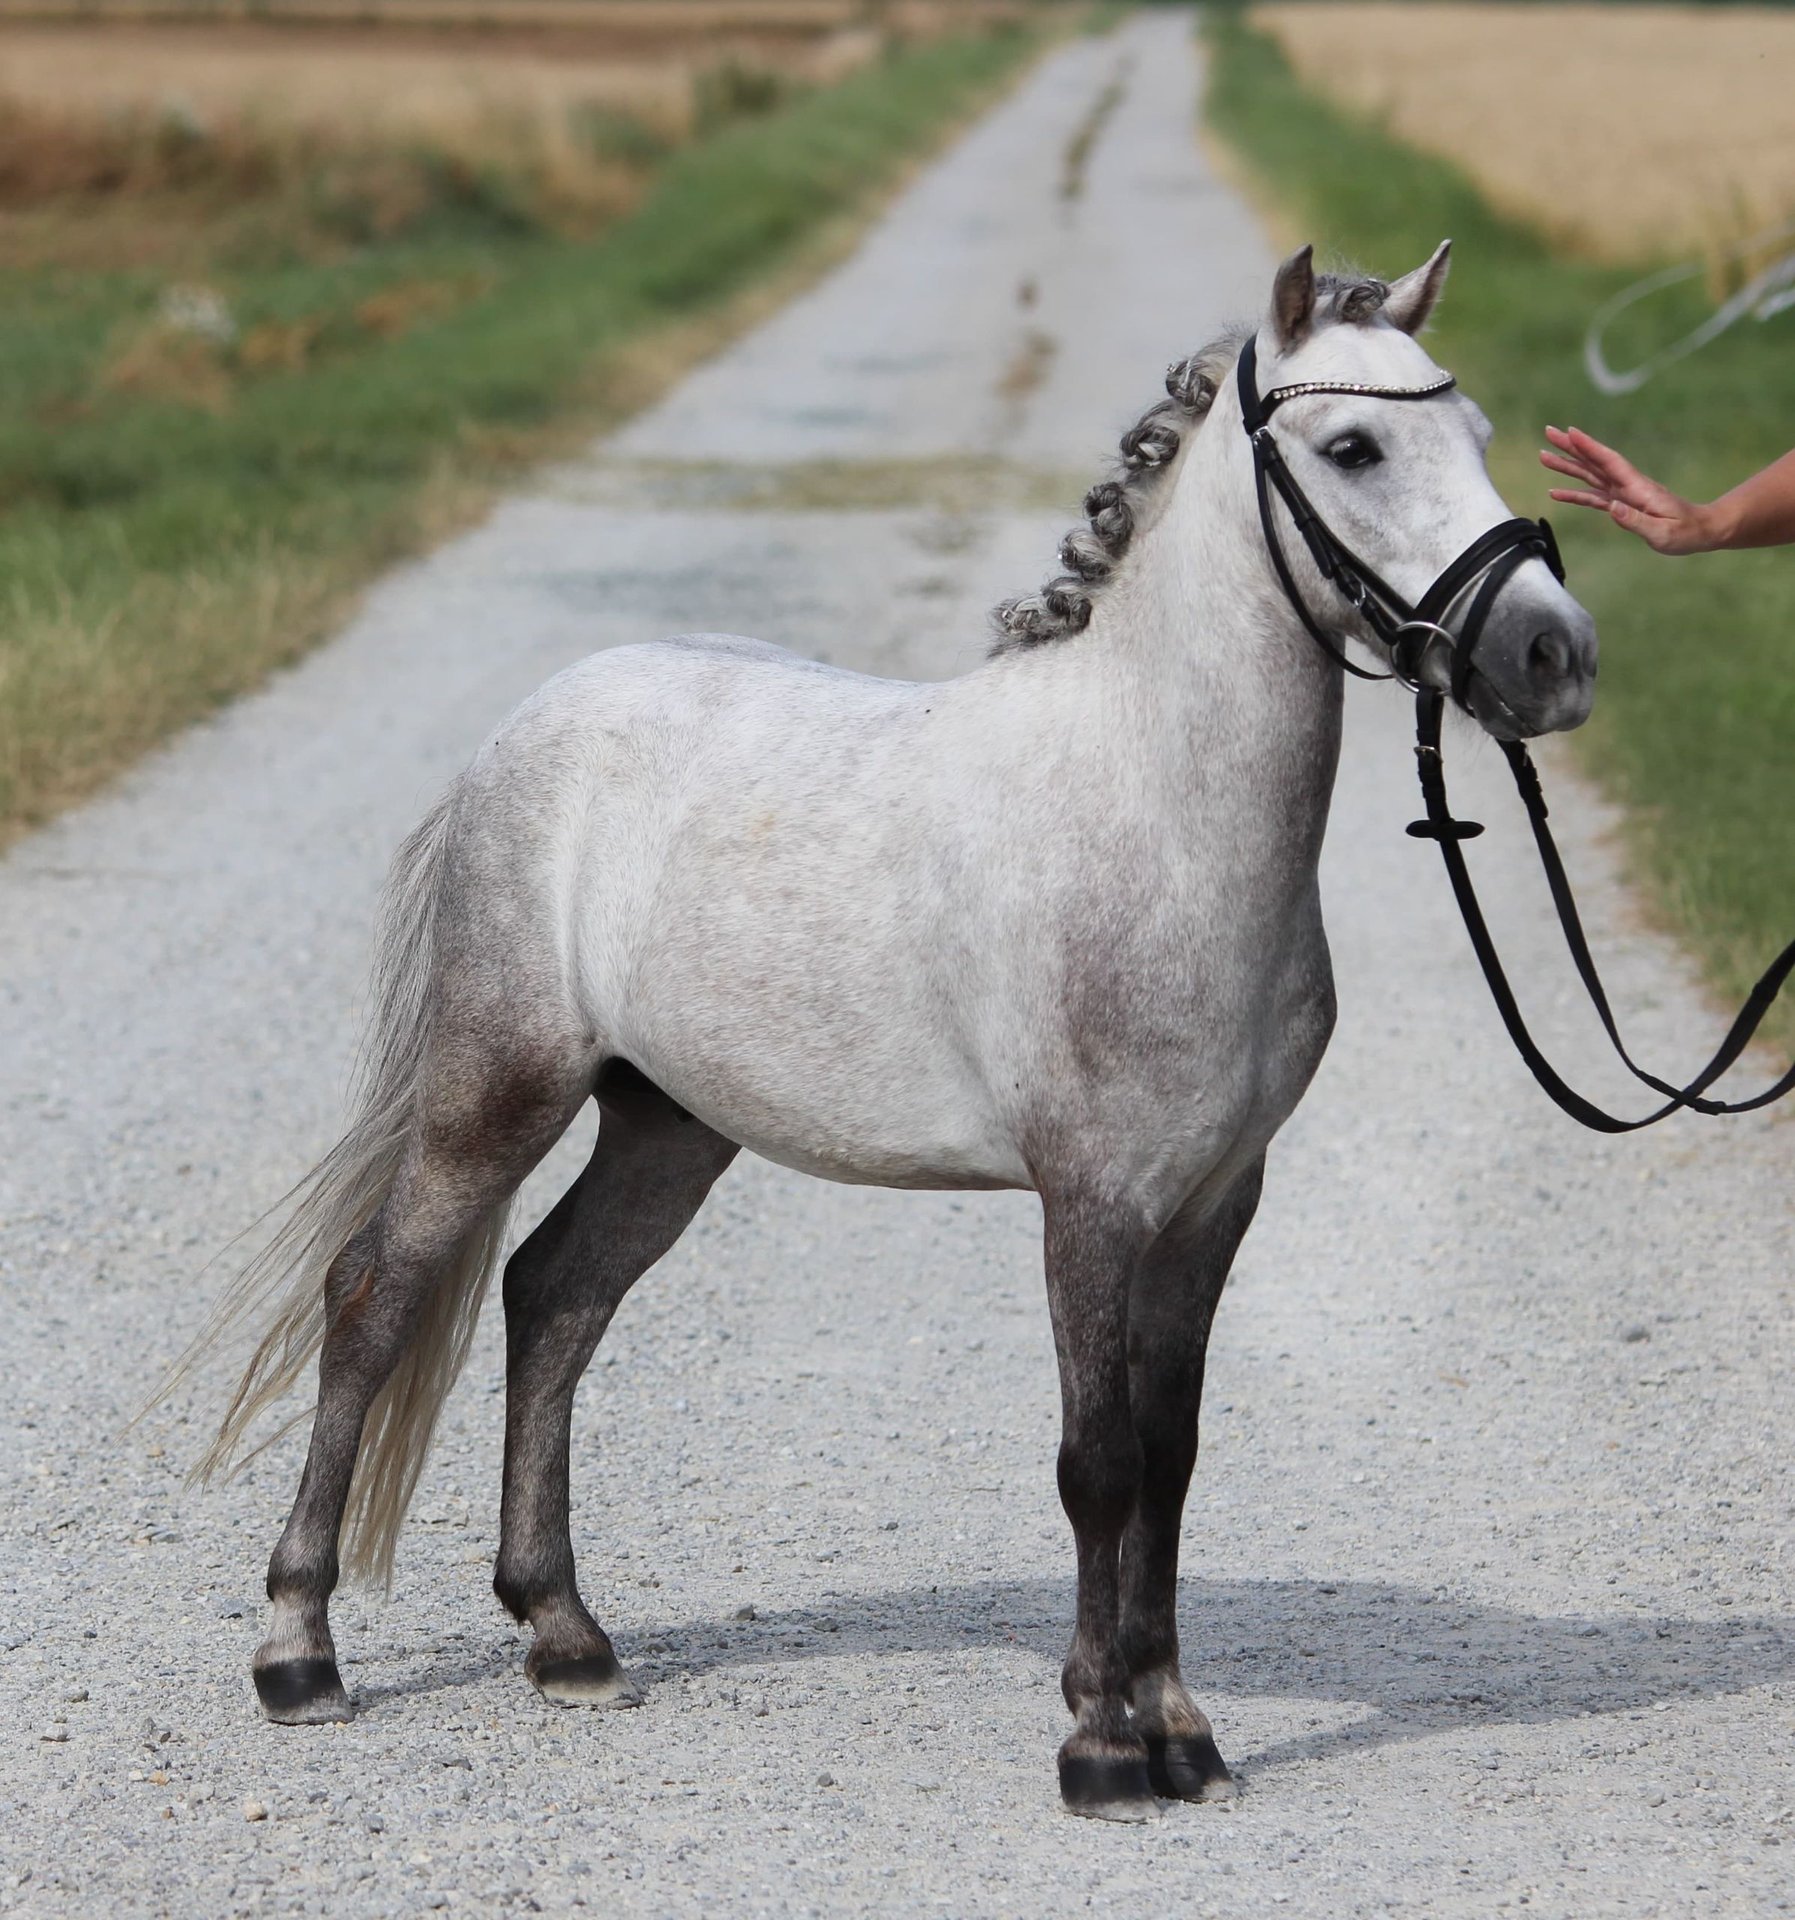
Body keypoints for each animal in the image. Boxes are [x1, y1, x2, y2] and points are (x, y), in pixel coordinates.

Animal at [172, 242, 1597, 1821]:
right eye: (1353, 448)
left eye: (1477, 437)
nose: (1552, 654)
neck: (1156, 814)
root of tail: (525, 729)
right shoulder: (1089, 1201)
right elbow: (1097, 1463)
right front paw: (1101, 1746)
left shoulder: (1214, 1199)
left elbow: (1168, 1458)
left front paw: (1180, 1732)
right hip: (496, 1092)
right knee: (375, 1300)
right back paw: (298, 1651)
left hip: (669, 1125)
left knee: (553, 1298)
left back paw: (565, 1636)